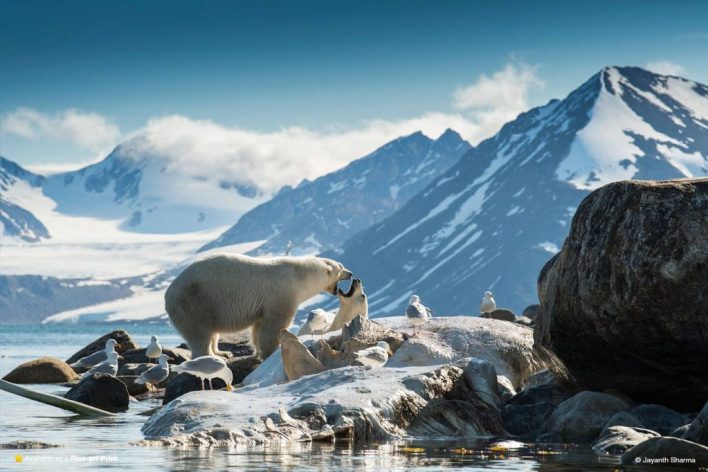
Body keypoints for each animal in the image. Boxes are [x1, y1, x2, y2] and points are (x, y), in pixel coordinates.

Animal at [165, 254, 352, 359]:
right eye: (341, 266)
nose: (351, 273)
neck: (299, 275)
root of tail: (168, 294)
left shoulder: (262, 305)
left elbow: (258, 327)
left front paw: (258, 351)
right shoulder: (282, 293)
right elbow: (275, 325)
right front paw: (272, 351)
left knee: (211, 333)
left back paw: (222, 353)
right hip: (194, 302)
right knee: (199, 334)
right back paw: (210, 357)